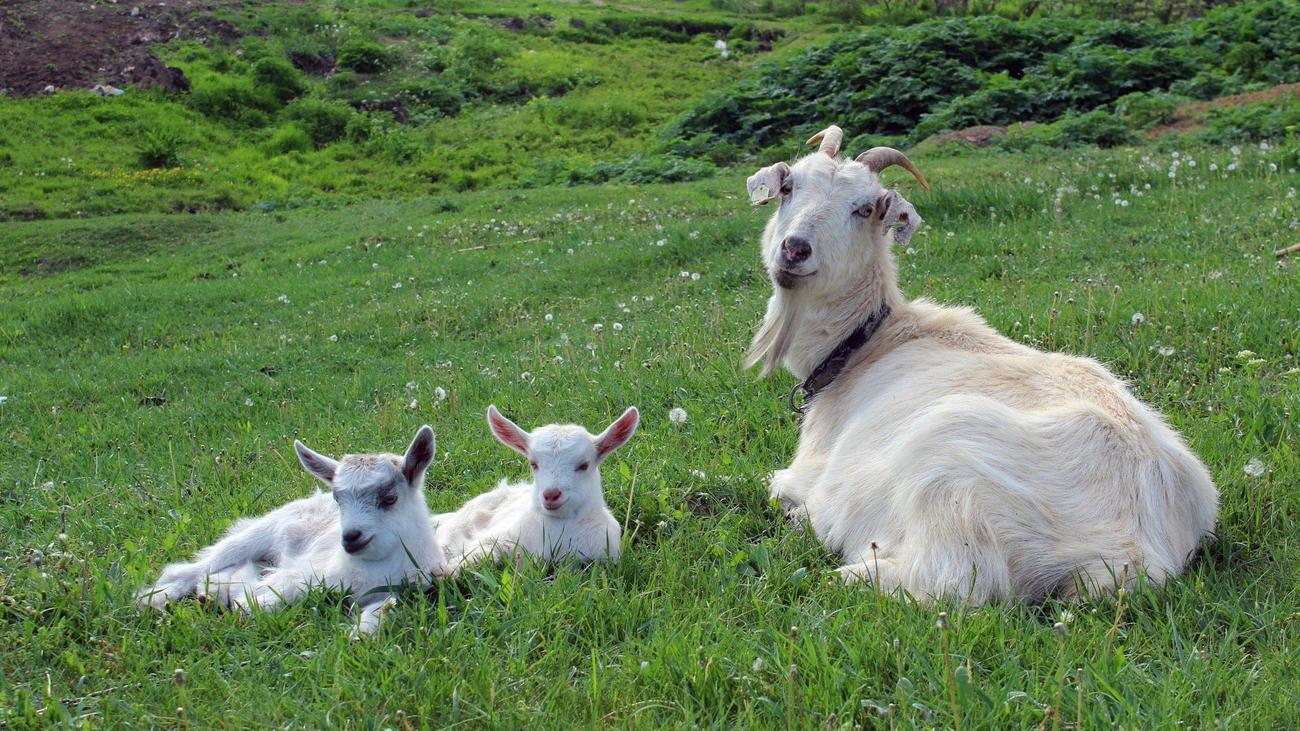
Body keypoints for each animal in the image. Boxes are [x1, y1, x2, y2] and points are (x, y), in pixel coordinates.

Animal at [136, 426, 444, 634]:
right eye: (338, 499)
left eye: (390, 498)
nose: (350, 537)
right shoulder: (306, 573)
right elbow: (260, 600)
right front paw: (243, 604)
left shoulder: (405, 591)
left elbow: (383, 609)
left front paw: (361, 633)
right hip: (256, 536)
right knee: (190, 568)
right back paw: (155, 599)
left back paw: (206, 594)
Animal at [744, 124, 1218, 603]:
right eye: (789, 187)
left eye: (864, 209)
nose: (795, 249)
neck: (863, 346)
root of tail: (1138, 551)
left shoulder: (807, 473)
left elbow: (772, 483)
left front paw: (798, 512)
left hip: (949, 473)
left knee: (949, 580)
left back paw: (841, 565)